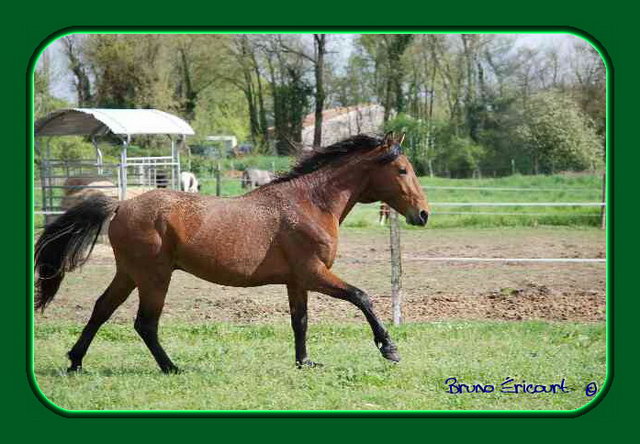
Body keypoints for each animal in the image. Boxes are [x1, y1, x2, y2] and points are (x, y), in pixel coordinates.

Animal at [32, 133, 428, 374]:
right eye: (402, 169)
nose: (423, 214)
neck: (310, 204)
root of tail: (120, 206)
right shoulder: (314, 273)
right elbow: (361, 297)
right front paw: (389, 348)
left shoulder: (297, 281)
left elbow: (300, 322)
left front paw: (305, 362)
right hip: (153, 278)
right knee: (145, 323)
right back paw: (171, 367)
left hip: (128, 275)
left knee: (101, 309)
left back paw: (75, 362)